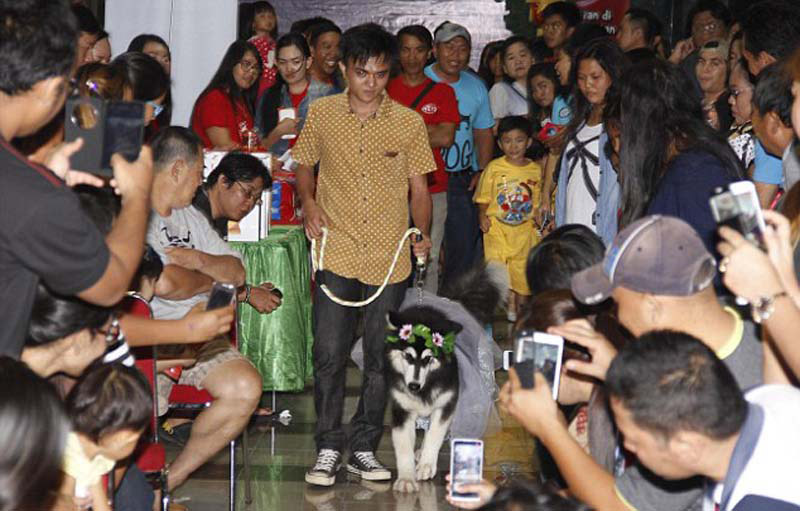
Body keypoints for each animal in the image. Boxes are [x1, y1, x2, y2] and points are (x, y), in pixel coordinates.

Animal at [386, 263, 505, 492]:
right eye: (408, 356)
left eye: (428, 358)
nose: (413, 386)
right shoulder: (401, 408)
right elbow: (403, 443)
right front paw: (406, 477)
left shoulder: (446, 404)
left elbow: (435, 434)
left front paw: (426, 464)